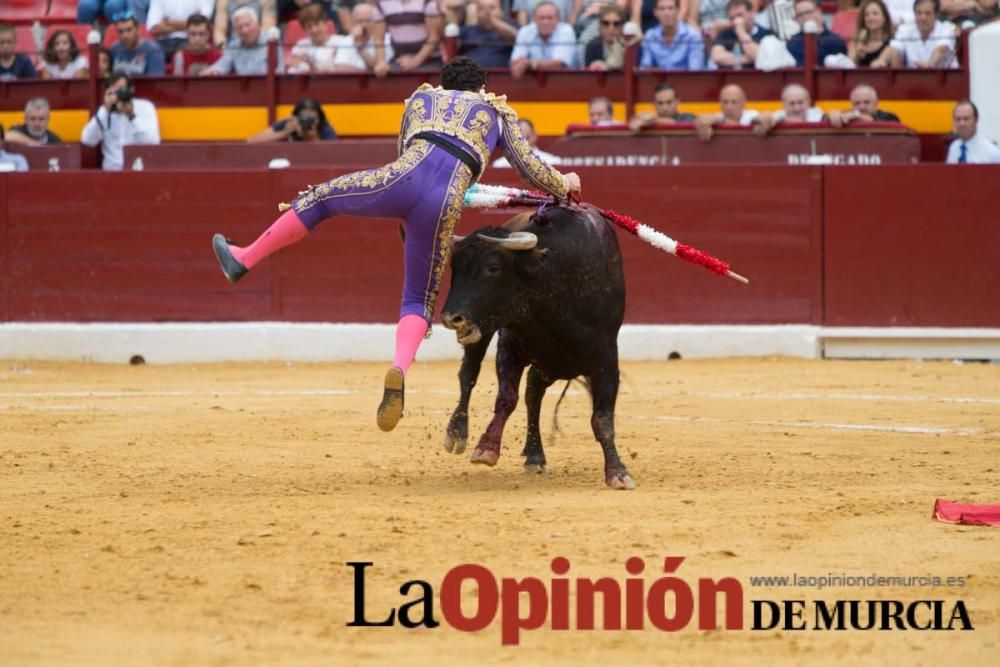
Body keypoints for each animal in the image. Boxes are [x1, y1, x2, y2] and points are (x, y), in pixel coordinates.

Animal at [442, 204, 636, 490]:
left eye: (493, 267)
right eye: (454, 268)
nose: (451, 317)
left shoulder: (607, 360)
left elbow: (602, 419)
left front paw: (618, 472)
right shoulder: (510, 347)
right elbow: (506, 399)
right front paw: (487, 448)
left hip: (550, 364)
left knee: (533, 394)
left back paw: (534, 454)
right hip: (488, 329)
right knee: (469, 375)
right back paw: (457, 433)